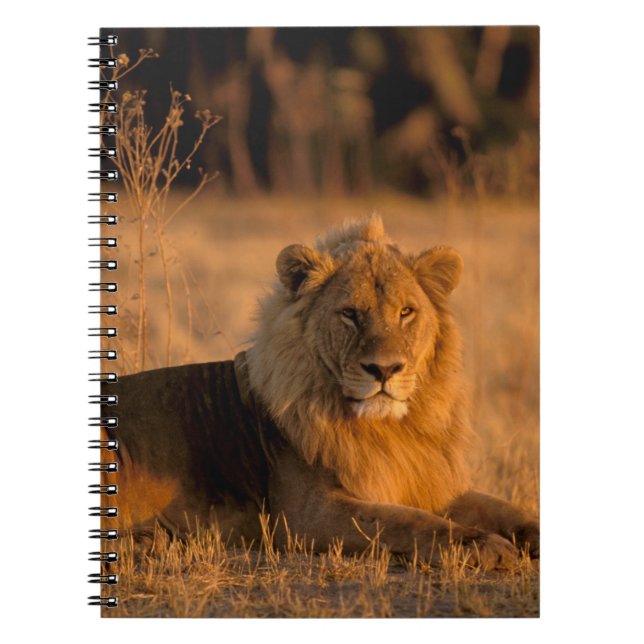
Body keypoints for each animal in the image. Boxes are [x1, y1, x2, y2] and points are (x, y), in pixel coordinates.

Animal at [103, 215, 538, 569]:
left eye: (405, 312)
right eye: (349, 314)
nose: (385, 369)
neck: (390, 430)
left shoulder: (421, 479)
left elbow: (505, 508)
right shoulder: (306, 516)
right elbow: (405, 521)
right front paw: (482, 545)